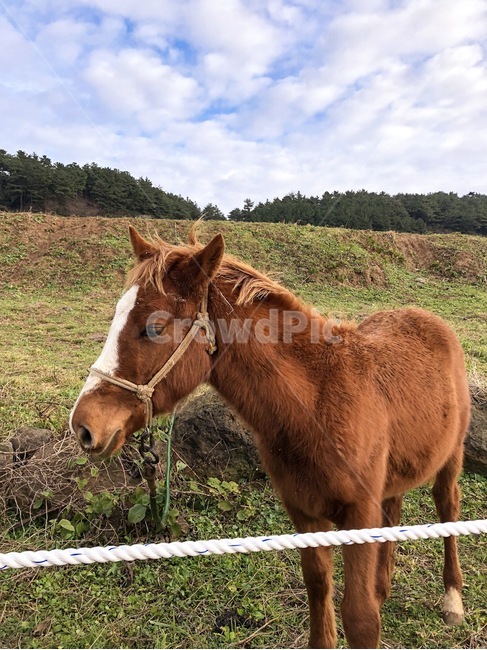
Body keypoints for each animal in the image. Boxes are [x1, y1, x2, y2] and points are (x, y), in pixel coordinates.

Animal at [70, 225, 470, 649]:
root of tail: (430, 319)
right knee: (394, 509)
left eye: (153, 328)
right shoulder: (304, 513)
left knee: (448, 507)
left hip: (451, 457)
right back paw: (383, 586)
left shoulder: (359, 514)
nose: (83, 426)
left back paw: (452, 599)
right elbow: (318, 588)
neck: (317, 405)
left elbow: (360, 618)